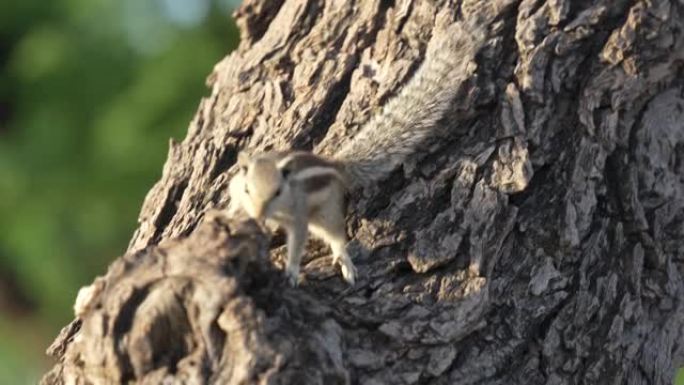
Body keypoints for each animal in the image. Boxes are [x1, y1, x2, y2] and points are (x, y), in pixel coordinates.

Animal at [230, 20, 486, 284]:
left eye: (278, 192)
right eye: (248, 189)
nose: (258, 215)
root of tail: (335, 165)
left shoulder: (299, 214)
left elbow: (298, 240)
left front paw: (291, 271)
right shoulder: (238, 187)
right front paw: (230, 215)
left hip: (327, 211)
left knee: (335, 235)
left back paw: (346, 263)